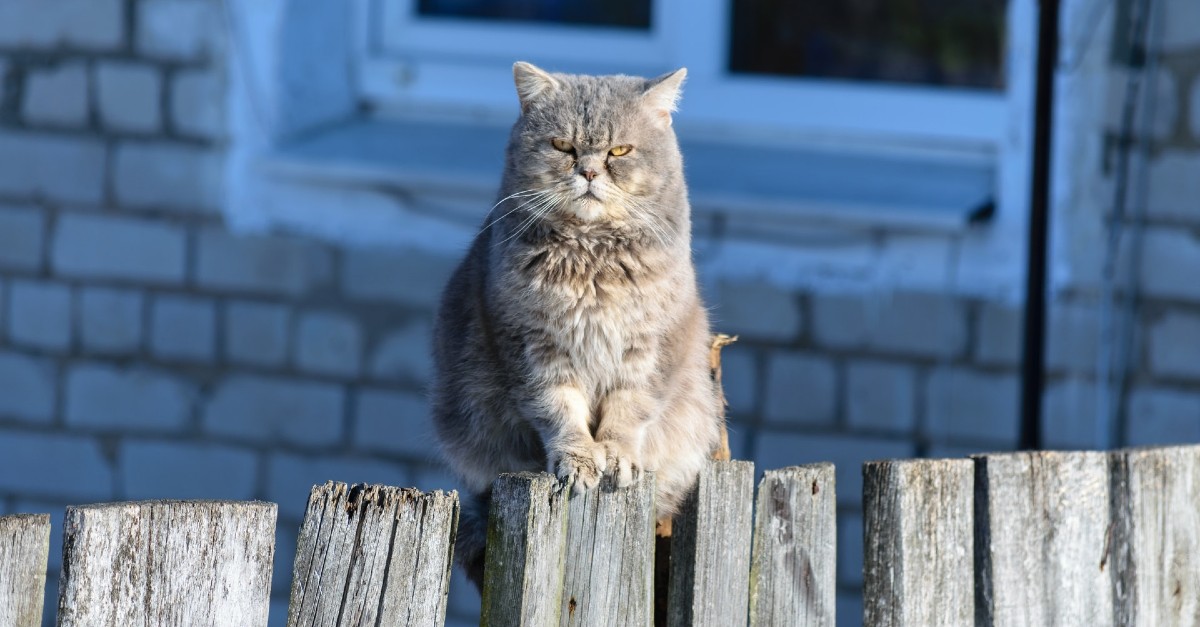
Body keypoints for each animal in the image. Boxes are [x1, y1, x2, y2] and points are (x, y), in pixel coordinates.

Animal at [432, 60, 720, 583]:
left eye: (619, 150)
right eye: (562, 146)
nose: (587, 170)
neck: (591, 254)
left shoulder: (649, 352)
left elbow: (628, 411)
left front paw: (616, 455)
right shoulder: (533, 349)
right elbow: (559, 410)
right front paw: (579, 458)